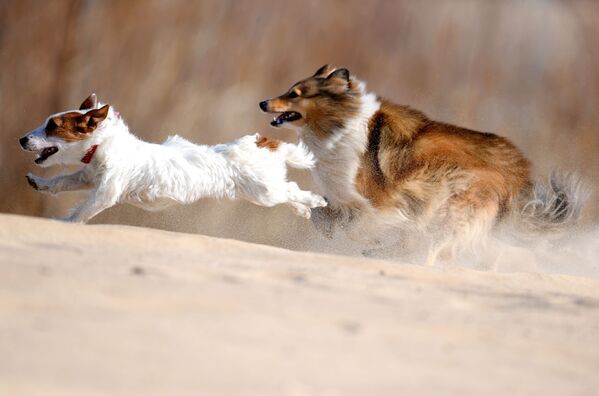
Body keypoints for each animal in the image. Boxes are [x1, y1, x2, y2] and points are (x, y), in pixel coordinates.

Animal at [18, 93, 326, 223]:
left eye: (53, 126)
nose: (22, 139)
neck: (103, 145)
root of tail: (261, 143)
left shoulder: (106, 192)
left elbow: (81, 211)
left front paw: (63, 223)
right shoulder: (87, 176)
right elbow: (61, 181)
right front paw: (39, 183)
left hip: (264, 192)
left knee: (293, 190)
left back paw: (315, 201)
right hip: (263, 192)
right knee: (290, 192)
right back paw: (302, 210)